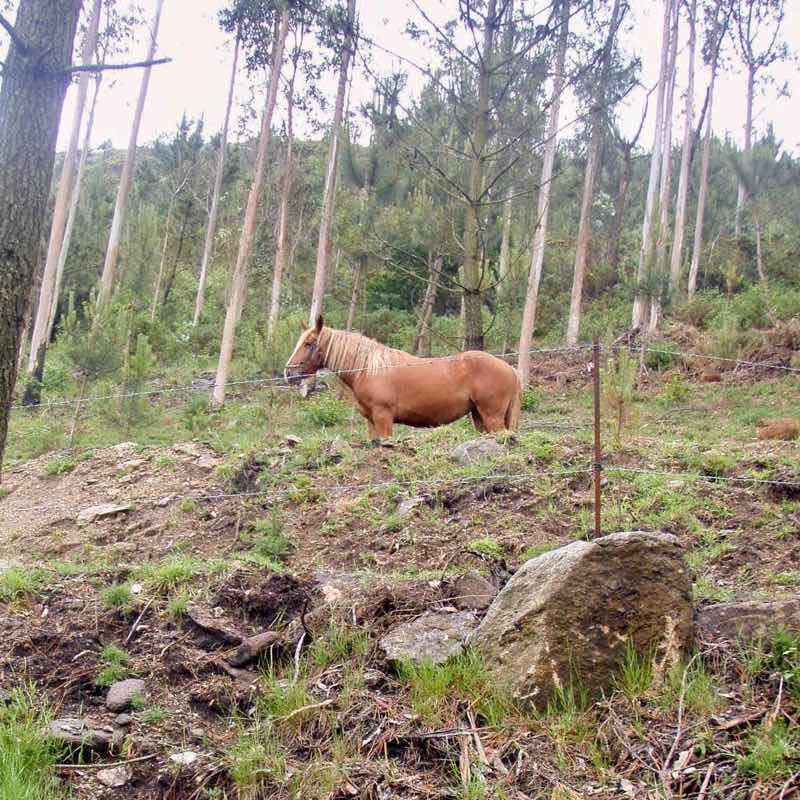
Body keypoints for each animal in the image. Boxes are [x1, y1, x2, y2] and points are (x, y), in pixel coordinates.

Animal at [285, 316, 521, 443]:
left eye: (308, 343)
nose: (289, 373)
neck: (369, 368)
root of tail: (509, 368)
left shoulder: (384, 419)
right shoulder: (371, 422)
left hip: (492, 417)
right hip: (480, 417)